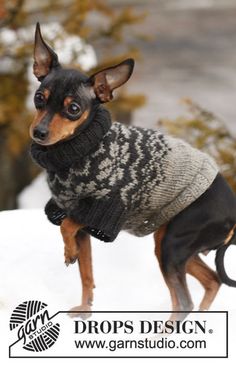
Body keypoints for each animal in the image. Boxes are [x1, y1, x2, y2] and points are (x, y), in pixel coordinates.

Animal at [30, 23, 236, 318]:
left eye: (73, 109)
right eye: (39, 98)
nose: (39, 132)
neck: (83, 149)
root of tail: (233, 212)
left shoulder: (103, 210)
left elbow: (67, 226)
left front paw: (68, 253)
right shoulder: (84, 227)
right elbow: (86, 274)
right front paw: (85, 310)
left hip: (173, 246)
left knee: (184, 301)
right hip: (173, 244)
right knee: (212, 280)